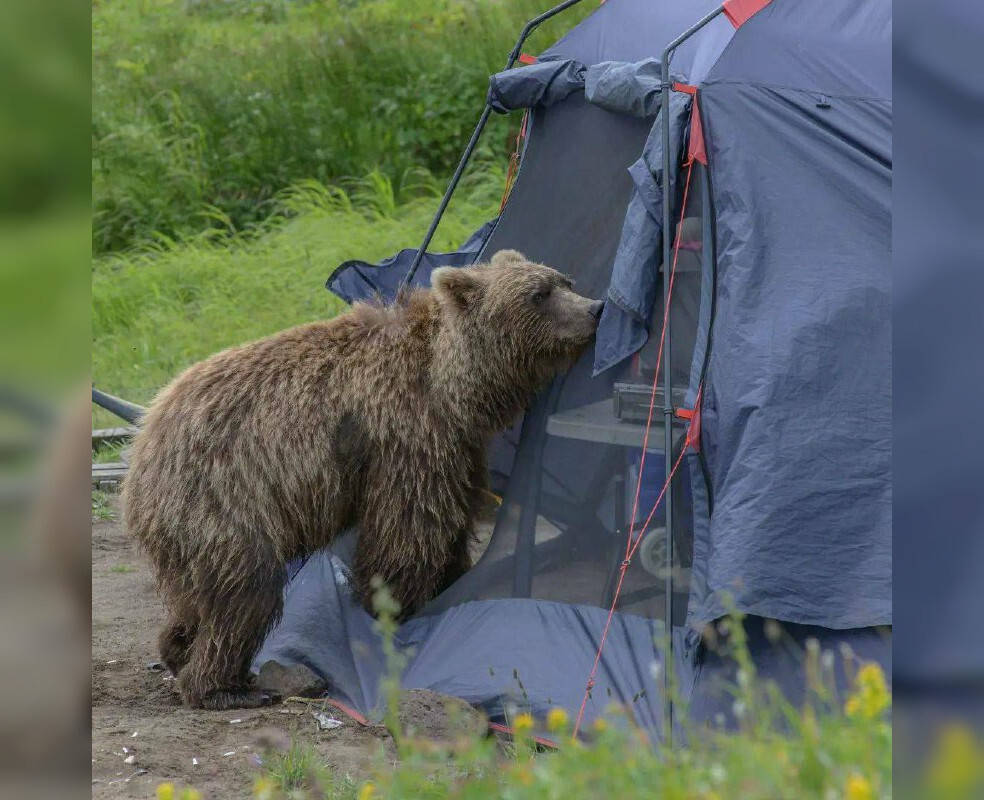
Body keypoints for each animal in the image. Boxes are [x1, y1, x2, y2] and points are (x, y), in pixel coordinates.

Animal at [122, 248, 600, 708]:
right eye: (538, 294)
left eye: (565, 281)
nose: (594, 309)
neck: (453, 385)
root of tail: (143, 442)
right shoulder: (405, 434)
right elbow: (408, 531)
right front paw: (396, 609)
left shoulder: (458, 447)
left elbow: (452, 521)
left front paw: (451, 581)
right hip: (224, 493)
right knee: (246, 589)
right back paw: (227, 687)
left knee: (199, 595)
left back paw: (178, 648)